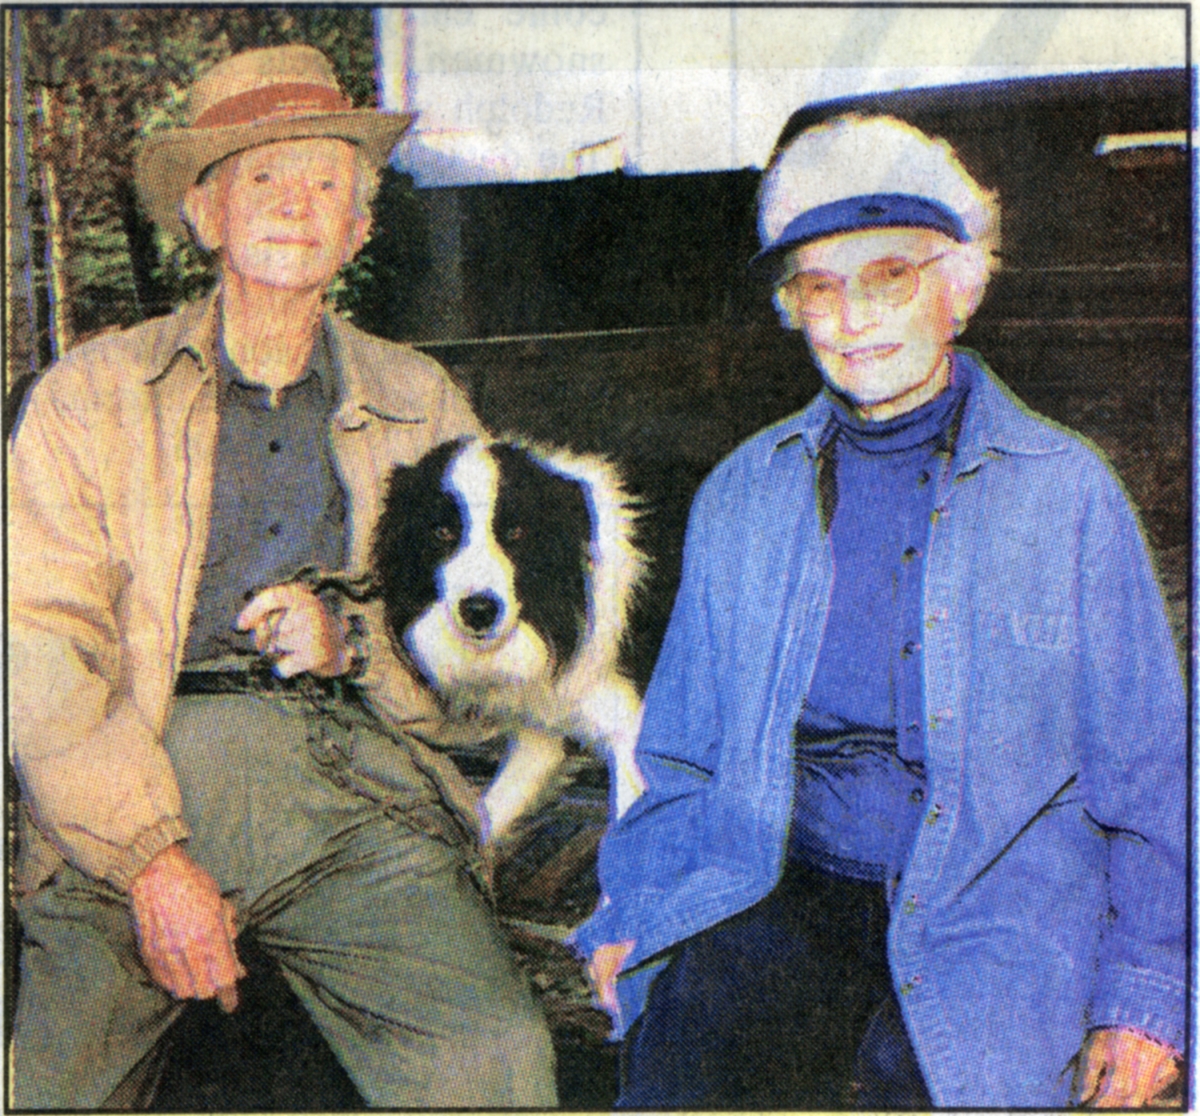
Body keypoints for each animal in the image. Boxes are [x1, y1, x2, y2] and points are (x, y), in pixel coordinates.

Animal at [367, 434, 652, 835]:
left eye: (516, 533)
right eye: (442, 533)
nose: (479, 612)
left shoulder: (633, 730)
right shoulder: (540, 728)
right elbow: (486, 820)